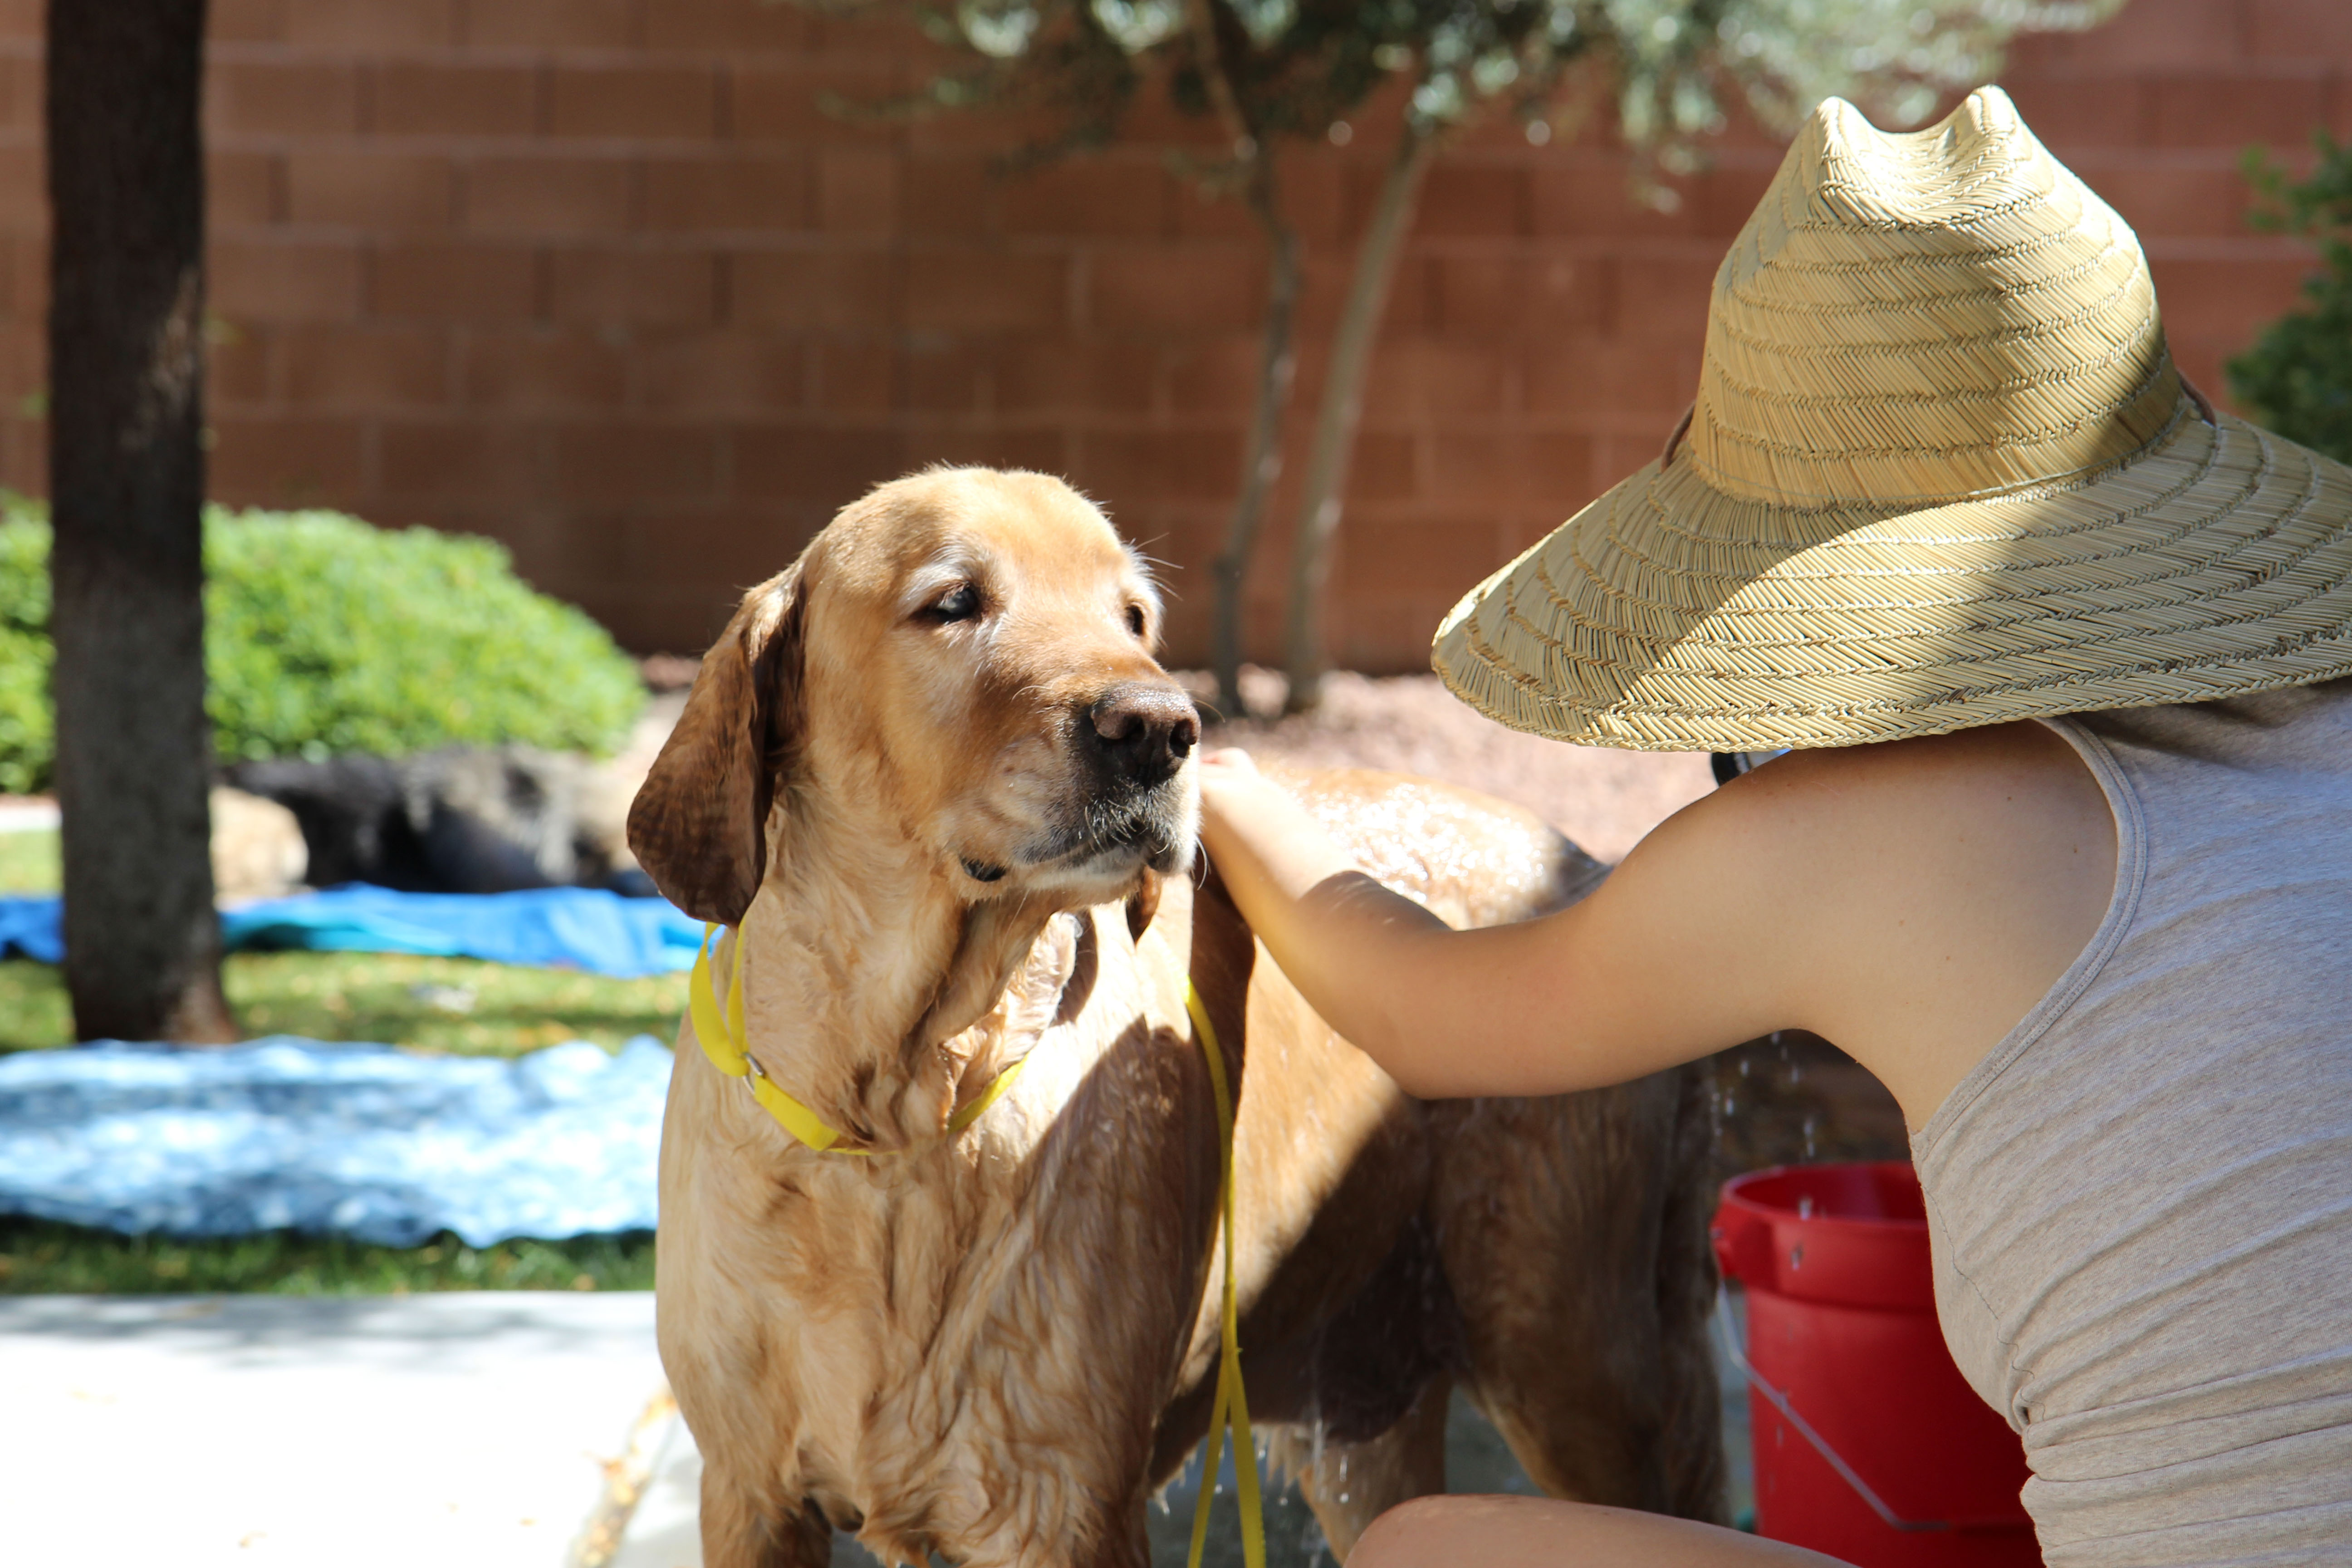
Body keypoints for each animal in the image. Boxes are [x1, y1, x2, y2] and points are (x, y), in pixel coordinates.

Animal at [635, 470, 1721, 1568]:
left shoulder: (1065, 1509)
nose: (1162, 728)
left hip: (1567, 1363)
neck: (901, 1109)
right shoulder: (750, 1494)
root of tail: (1590, 861)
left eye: (1134, 618)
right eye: (953, 603)